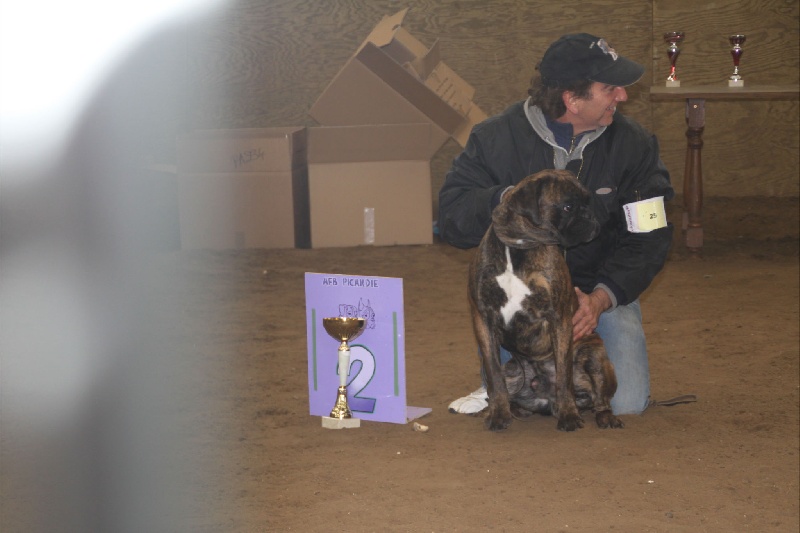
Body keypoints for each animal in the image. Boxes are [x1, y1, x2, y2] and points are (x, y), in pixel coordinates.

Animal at [468, 169, 622, 431]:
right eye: (568, 207)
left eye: (588, 202)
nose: (591, 218)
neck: (517, 248)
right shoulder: (483, 318)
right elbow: (494, 377)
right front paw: (498, 414)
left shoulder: (558, 317)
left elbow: (563, 376)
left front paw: (569, 416)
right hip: (513, 373)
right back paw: (512, 409)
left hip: (595, 357)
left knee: (599, 397)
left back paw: (603, 416)